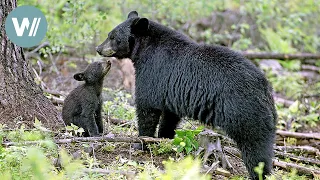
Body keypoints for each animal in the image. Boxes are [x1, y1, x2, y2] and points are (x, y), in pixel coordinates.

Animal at [96, 11, 276, 180]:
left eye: (113, 37)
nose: (98, 48)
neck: (145, 48)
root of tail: (264, 87)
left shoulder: (153, 73)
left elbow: (147, 108)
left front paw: (142, 143)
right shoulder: (171, 91)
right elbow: (170, 116)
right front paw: (165, 138)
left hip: (243, 111)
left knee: (254, 146)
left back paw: (258, 173)